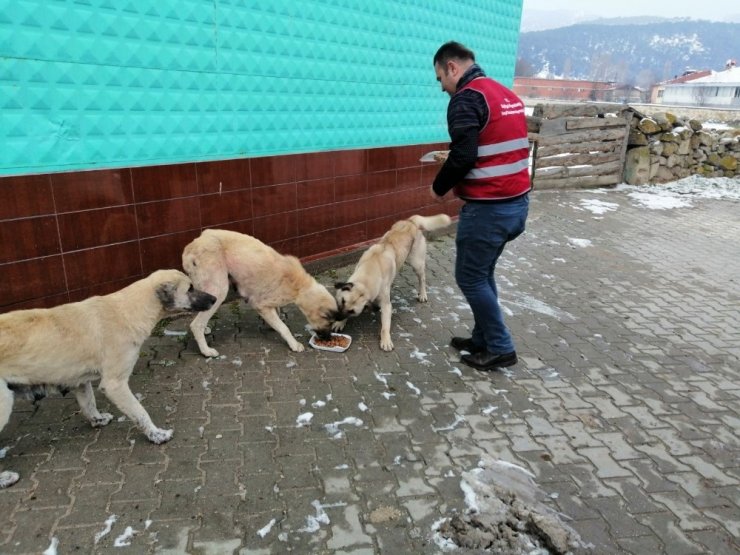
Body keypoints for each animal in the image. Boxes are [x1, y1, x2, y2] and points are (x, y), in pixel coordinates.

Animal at [182, 229, 338, 356]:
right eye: (329, 322)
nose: (328, 338)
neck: (300, 286)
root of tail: (192, 245)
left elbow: (278, 316)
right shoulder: (260, 304)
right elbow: (284, 327)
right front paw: (293, 344)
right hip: (218, 291)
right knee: (196, 324)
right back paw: (206, 351)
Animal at [334, 214, 450, 352]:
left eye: (352, 311)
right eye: (341, 302)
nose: (337, 317)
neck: (368, 274)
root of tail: (411, 221)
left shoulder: (386, 305)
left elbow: (385, 327)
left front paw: (385, 340)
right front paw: (340, 323)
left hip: (416, 263)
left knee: (422, 278)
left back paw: (422, 294)